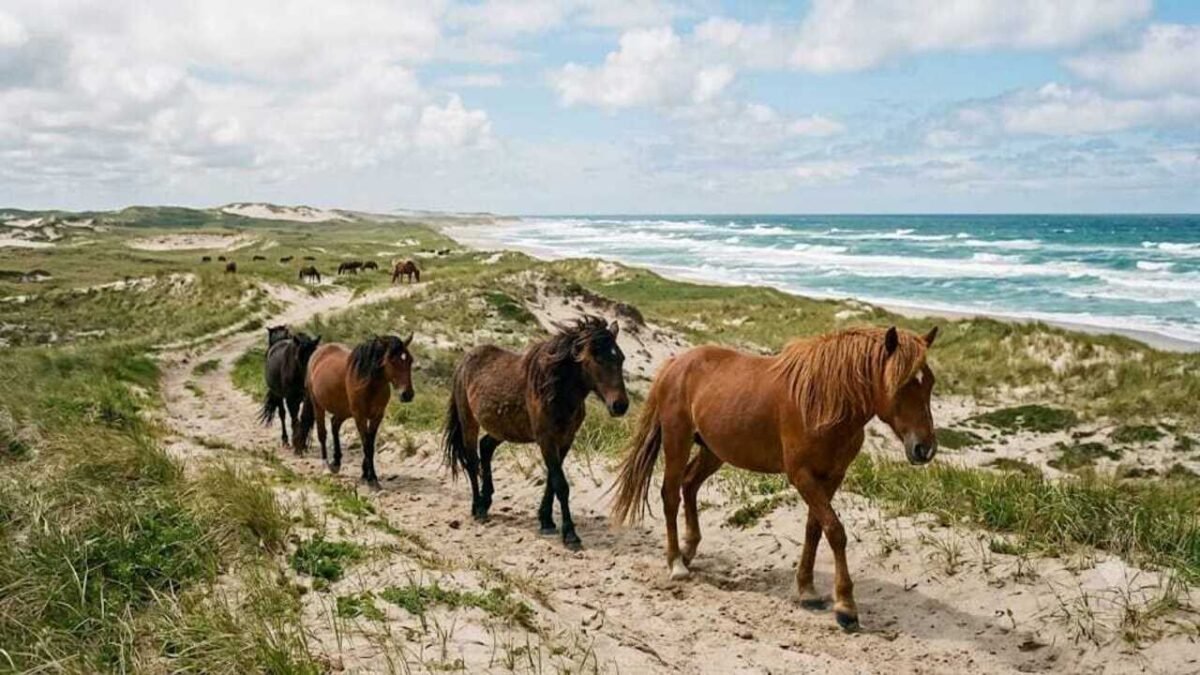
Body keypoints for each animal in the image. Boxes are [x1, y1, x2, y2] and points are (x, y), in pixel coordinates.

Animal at [297, 335, 415, 488]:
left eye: (410, 360)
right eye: (392, 361)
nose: (407, 394)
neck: (369, 384)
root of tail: (318, 352)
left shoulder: (377, 416)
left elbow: (370, 444)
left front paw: (366, 475)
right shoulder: (360, 416)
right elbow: (366, 445)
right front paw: (372, 479)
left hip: (344, 410)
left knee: (334, 424)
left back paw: (336, 462)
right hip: (318, 405)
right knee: (322, 433)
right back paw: (326, 466)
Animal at [443, 316, 629, 549]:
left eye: (620, 358)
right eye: (597, 358)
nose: (620, 405)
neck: (555, 389)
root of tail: (464, 361)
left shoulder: (565, 440)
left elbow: (552, 481)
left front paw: (546, 521)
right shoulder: (546, 440)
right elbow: (561, 484)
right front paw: (570, 534)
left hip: (503, 428)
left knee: (485, 447)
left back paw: (486, 502)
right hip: (469, 423)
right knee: (471, 461)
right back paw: (478, 508)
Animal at [610, 325, 939, 631]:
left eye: (930, 382)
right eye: (902, 384)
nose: (924, 448)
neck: (823, 401)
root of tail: (676, 362)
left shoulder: (831, 477)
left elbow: (814, 529)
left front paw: (807, 589)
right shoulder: (802, 476)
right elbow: (835, 531)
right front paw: (846, 607)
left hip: (714, 451)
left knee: (689, 484)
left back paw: (688, 550)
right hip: (677, 442)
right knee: (670, 495)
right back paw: (676, 562)